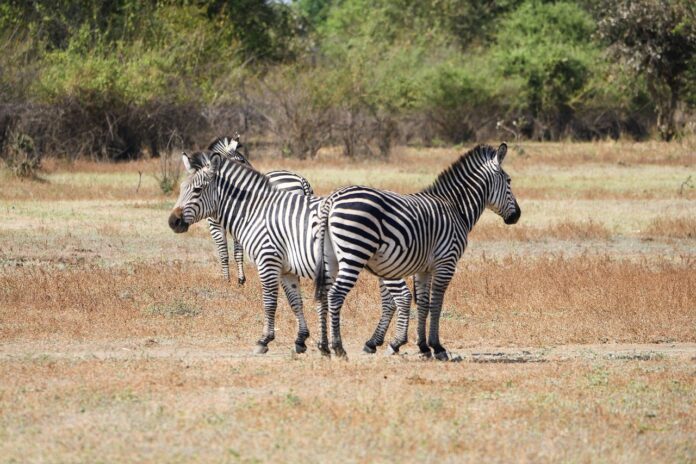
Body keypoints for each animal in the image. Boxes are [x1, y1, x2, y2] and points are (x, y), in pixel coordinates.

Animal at [204, 136, 312, 284]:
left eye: (242, 162)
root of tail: (300, 179)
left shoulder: (228, 223)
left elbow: (231, 253)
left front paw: (234, 280)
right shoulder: (222, 224)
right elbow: (229, 253)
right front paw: (233, 280)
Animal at [314, 143, 516, 360]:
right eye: (509, 181)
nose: (517, 216)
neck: (455, 209)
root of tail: (332, 198)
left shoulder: (423, 269)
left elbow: (423, 304)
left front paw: (423, 347)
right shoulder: (446, 262)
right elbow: (436, 304)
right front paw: (437, 347)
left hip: (330, 257)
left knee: (324, 294)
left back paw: (324, 346)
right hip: (354, 252)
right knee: (336, 294)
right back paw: (338, 347)